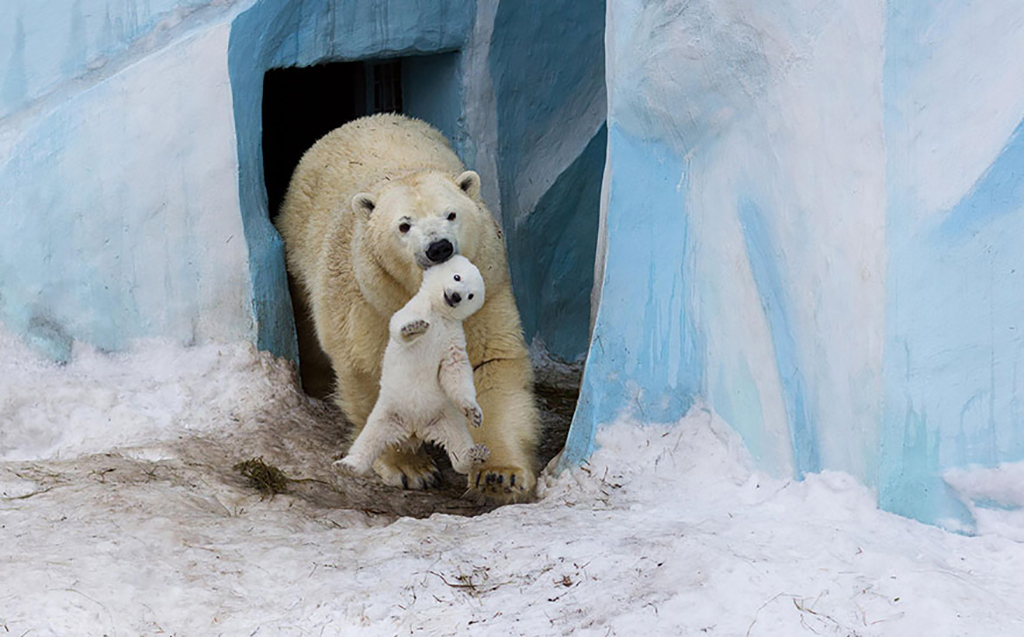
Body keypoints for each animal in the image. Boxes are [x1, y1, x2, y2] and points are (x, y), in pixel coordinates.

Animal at [334, 255, 491, 477]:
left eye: (470, 295)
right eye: (457, 276)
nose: (455, 296)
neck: (439, 314)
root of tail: (415, 428)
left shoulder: (452, 337)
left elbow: (455, 370)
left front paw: (475, 413)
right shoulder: (414, 308)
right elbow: (399, 325)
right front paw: (414, 328)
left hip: (444, 417)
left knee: (457, 441)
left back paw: (474, 455)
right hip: (388, 412)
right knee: (368, 439)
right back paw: (348, 465)